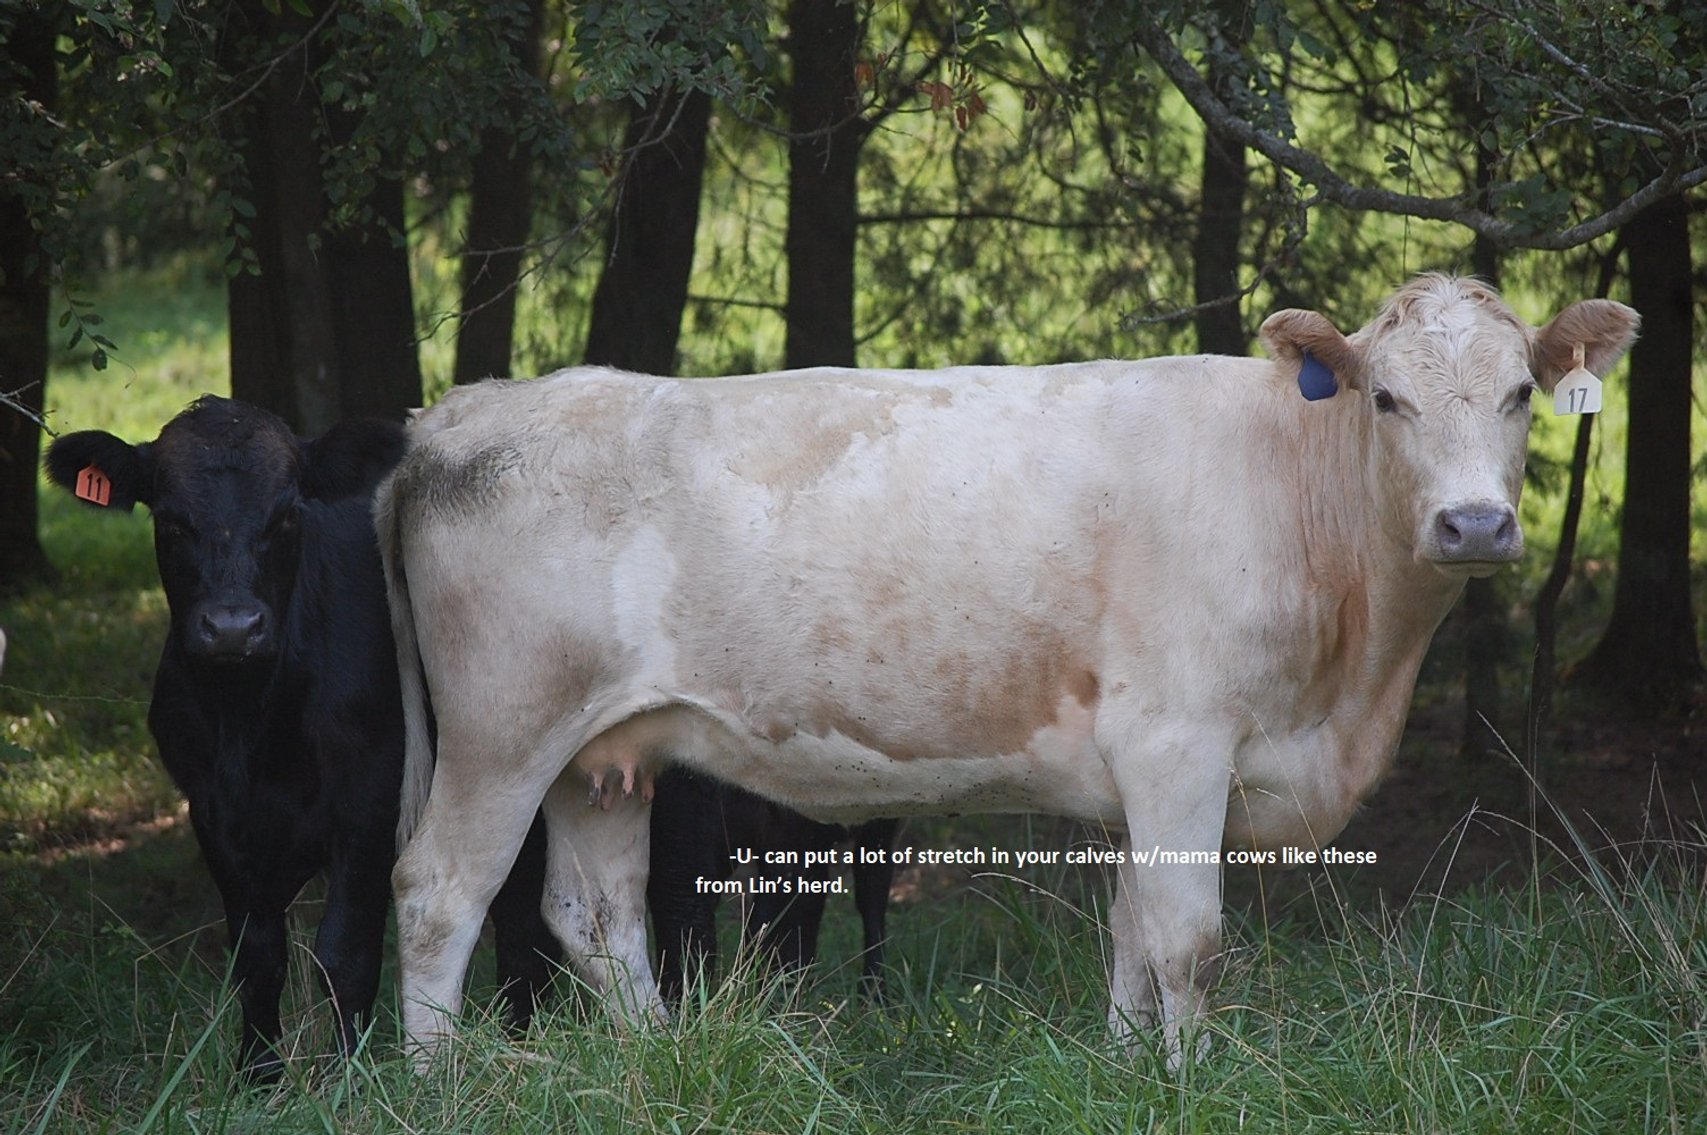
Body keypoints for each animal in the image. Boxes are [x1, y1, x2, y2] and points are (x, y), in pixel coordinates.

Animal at [45, 396, 558, 1079]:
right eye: (171, 519)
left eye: (288, 514)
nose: (233, 627)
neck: (251, 724)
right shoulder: (211, 811)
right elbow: (256, 956)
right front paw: (257, 1076)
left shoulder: (371, 797)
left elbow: (344, 950)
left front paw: (350, 1075)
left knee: (519, 901)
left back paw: (521, 1030)